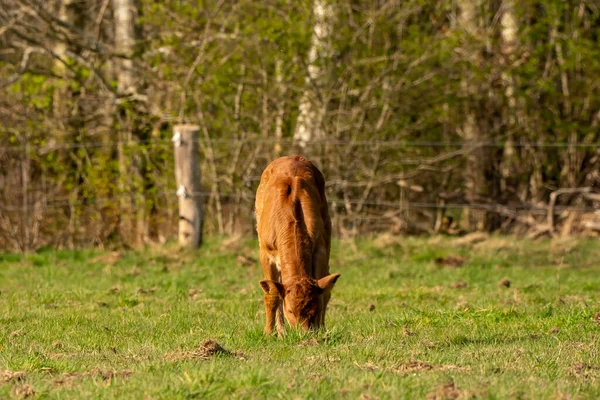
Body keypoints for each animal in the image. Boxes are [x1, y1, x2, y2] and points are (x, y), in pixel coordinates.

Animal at [254, 156, 342, 334]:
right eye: (290, 310)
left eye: (314, 309)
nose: (305, 334)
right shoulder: (266, 253)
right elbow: (272, 294)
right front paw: (269, 333)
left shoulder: (321, 250)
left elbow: (324, 293)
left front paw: (321, 331)